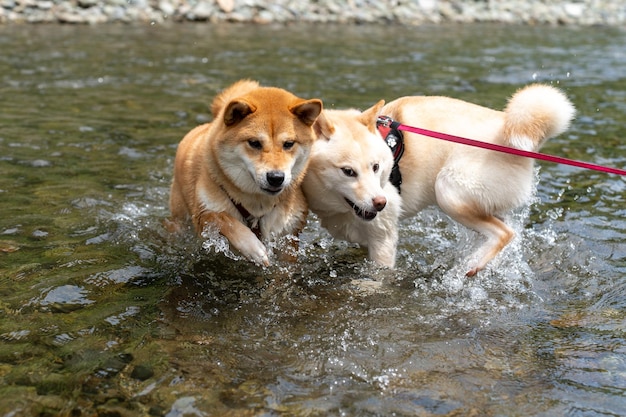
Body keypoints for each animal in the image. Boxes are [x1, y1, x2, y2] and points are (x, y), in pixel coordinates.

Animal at [169, 79, 324, 264]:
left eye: (288, 144)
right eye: (254, 143)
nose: (276, 177)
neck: (257, 207)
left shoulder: (288, 234)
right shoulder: (203, 216)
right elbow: (224, 219)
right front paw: (253, 248)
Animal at [304, 83, 576, 274]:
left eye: (376, 167)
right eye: (348, 171)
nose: (381, 203)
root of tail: (508, 131)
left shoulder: (383, 239)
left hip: (448, 190)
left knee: (504, 233)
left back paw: (473, 265)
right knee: (509, 230)